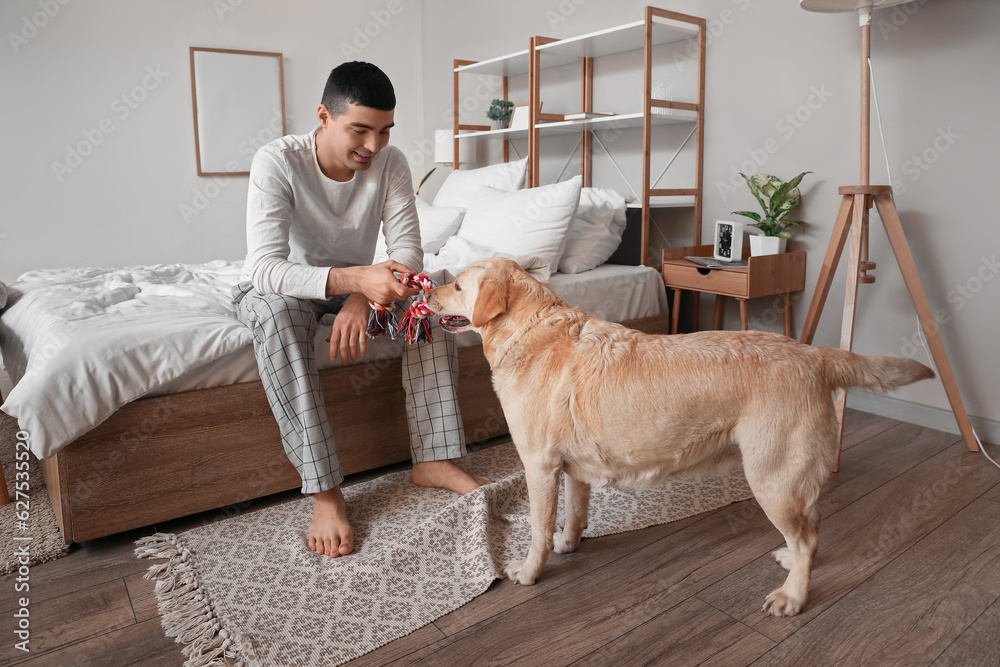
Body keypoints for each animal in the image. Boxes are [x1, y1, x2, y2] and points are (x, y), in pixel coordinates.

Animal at [428, 256, 936, 616]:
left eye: (457, 285)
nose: (427, 289)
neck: (531, 330)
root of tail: (814, 355)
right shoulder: (572, 469)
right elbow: (573, 513)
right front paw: (568, 543)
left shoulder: (539, 465)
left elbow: (536, 528)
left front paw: (531, 570)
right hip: (790, 478)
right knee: (811, 529)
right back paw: (793, 568)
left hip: (771, 477)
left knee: (807, 537)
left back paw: (792, 596)